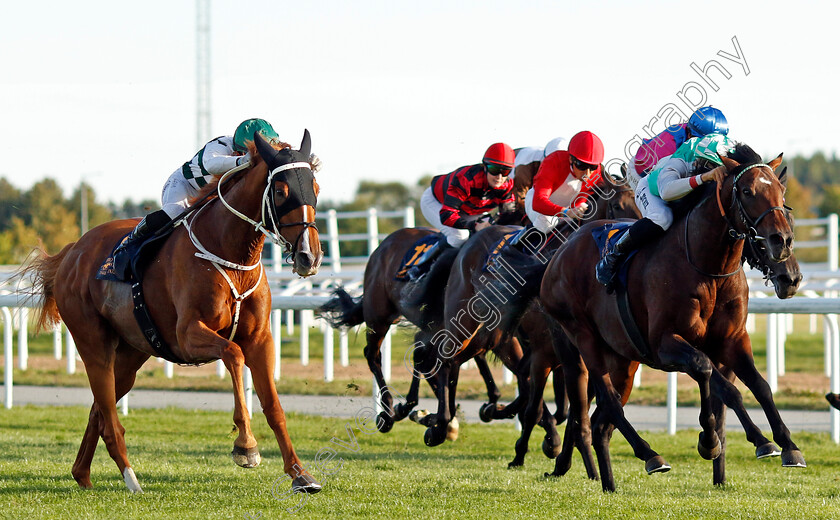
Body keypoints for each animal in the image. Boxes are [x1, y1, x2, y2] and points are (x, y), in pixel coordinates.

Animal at [22, 130, 324, 492]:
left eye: (315, 187)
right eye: (280, 192)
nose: (309, 256)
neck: (230, 253)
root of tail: (71, 252)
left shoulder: (260, 339)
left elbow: (274, 405)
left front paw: (300, 473)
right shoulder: (189, 334)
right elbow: (233, 354)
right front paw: (246, 447)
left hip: (132, 353)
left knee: (99, 408)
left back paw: (82, 474)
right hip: (93, 343)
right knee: (108, 415)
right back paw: (131, 479)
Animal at [540, 145, 804, 492]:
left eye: (781, 193)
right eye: (747, 191)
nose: (782, 245)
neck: (708, 268)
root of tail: (558, 254)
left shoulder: (732, 340)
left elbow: (760, 386)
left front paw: (789, 445)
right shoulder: (666, 344)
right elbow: (714, 378)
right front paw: (732, 441)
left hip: (623, 359)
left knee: (601, 423)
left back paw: (609, 483)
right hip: (583, 338)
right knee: (607, 401)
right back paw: (650, 455)